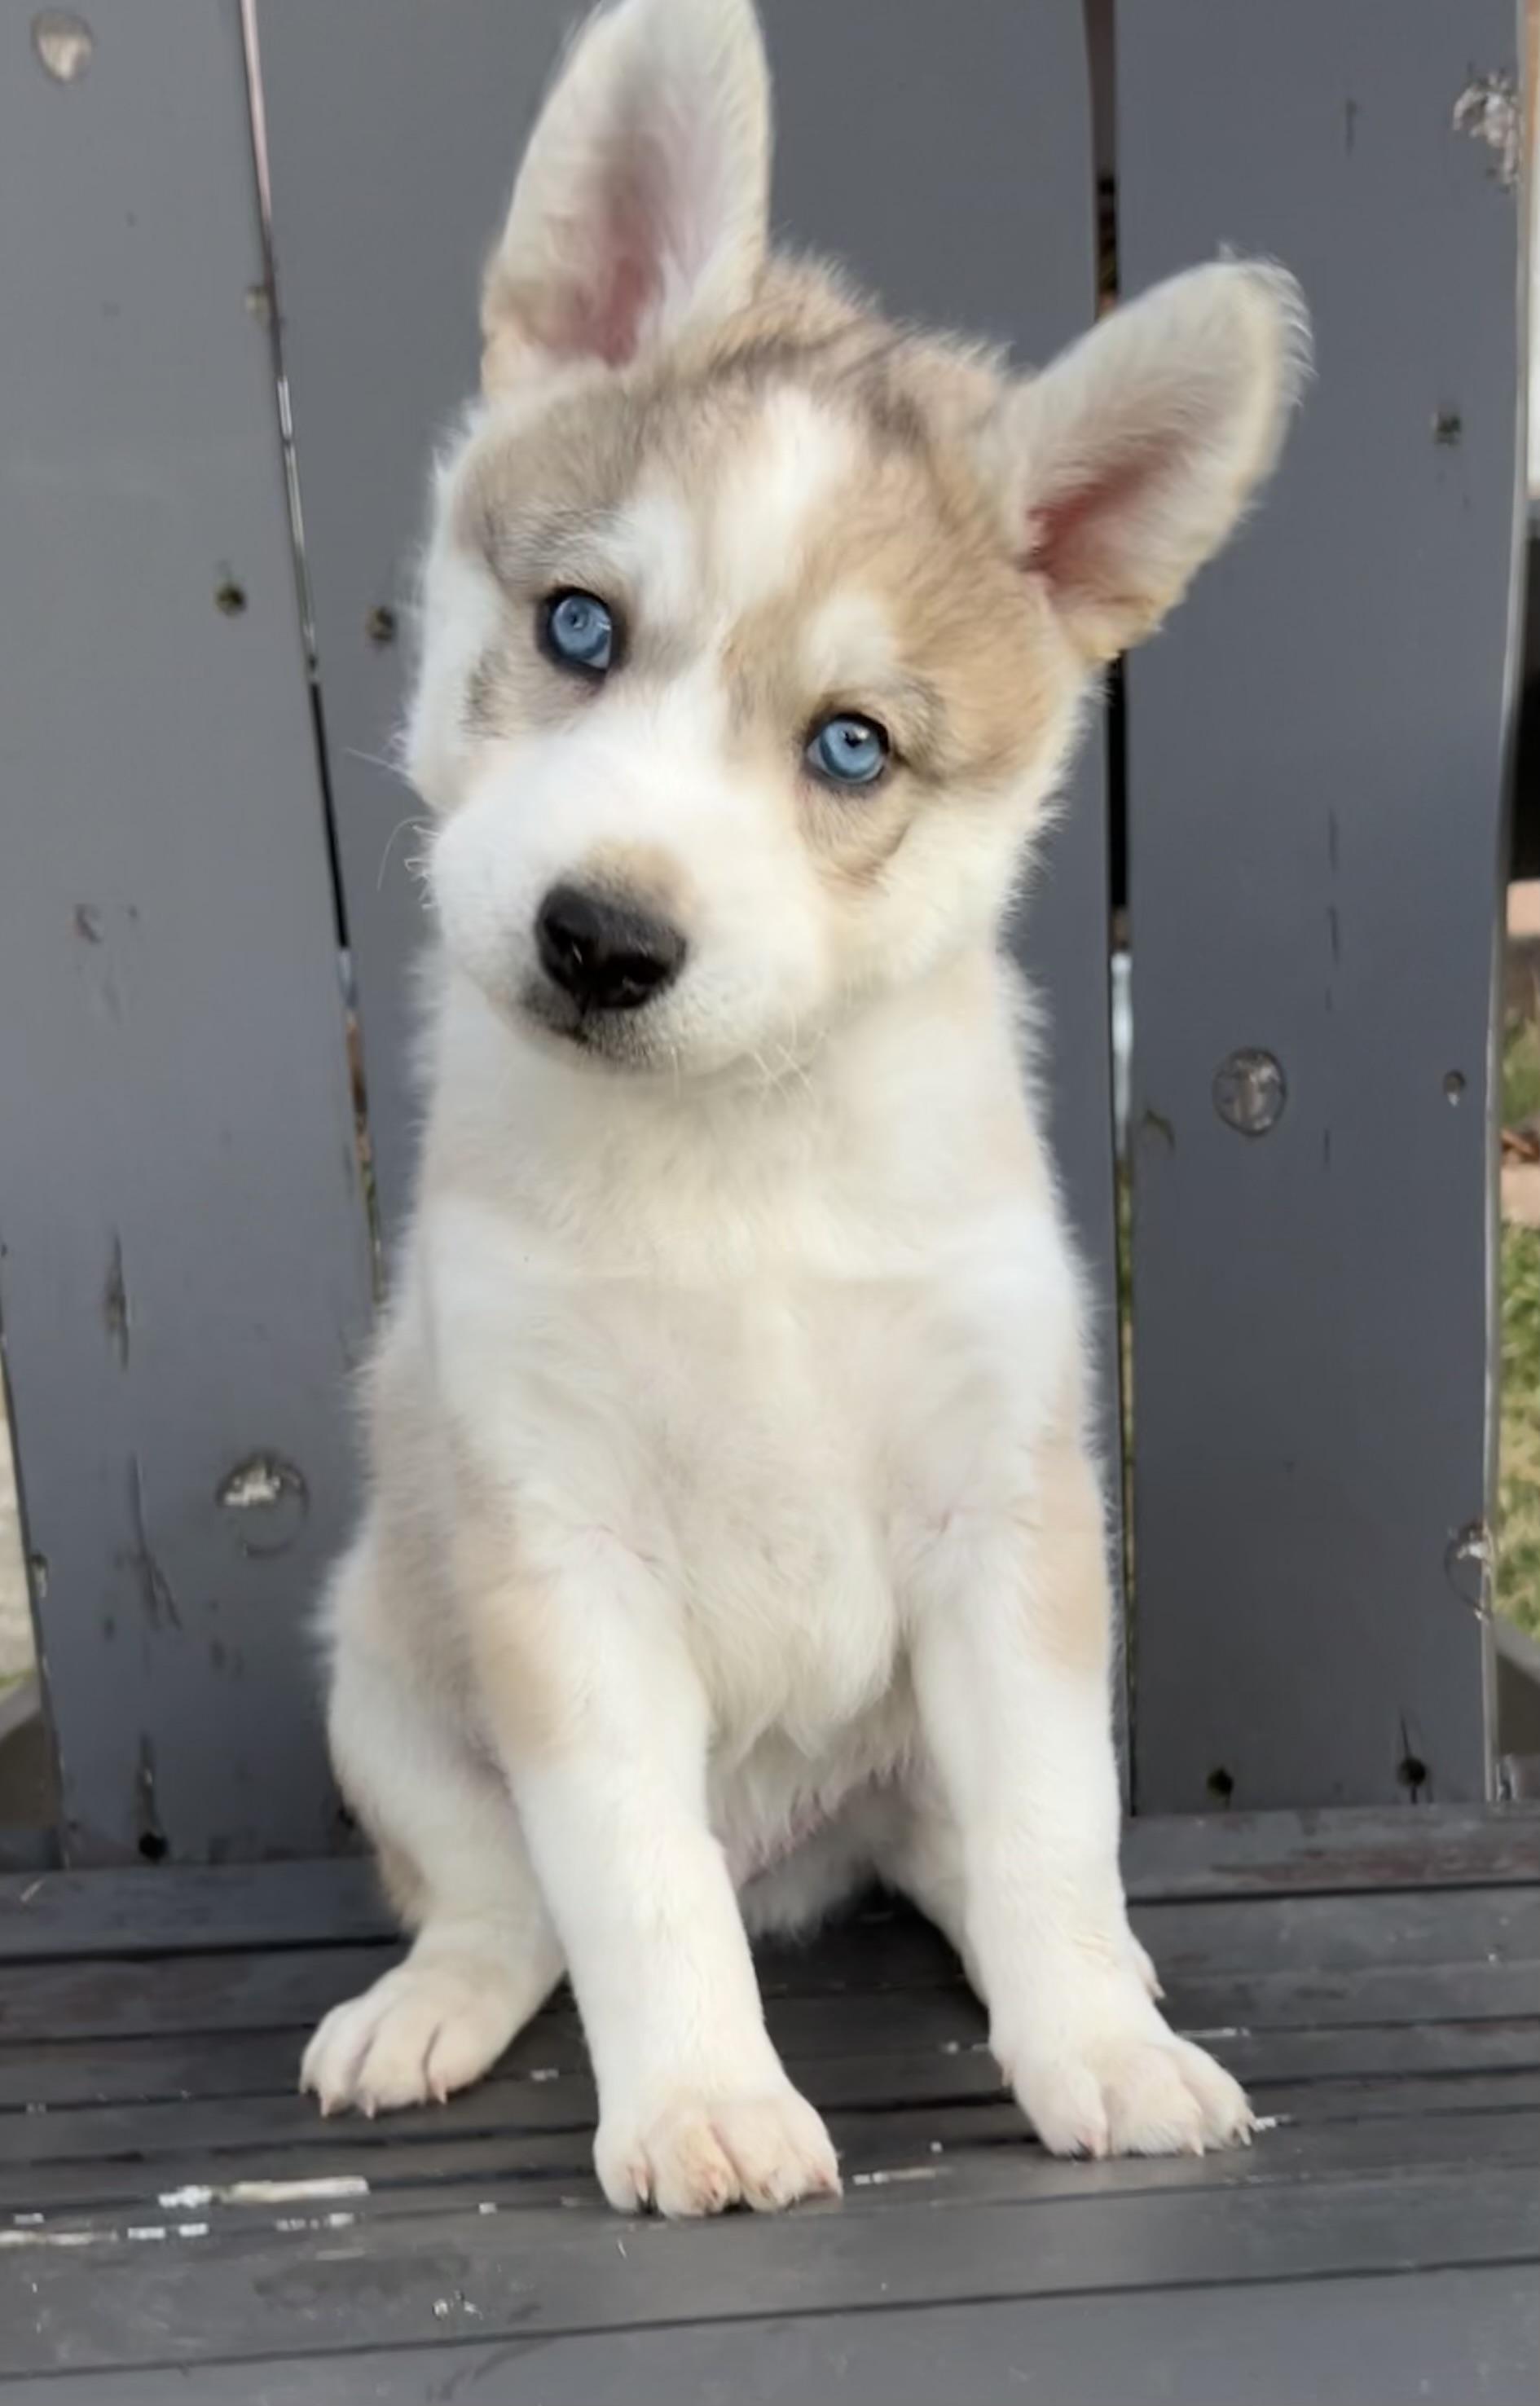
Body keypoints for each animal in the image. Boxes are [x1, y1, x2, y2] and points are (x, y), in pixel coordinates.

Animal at [301, 0, 1307, 2216]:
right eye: (578, 625)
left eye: (851, 747)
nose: (602, 937)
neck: (736, 1161)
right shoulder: (558, 1554)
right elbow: (630, 1877)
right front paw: (699, 2102)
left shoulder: (1005, 1527)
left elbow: (1047, 1839)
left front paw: (1103, 2052)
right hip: (385, 1668)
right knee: (499, 1895)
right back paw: (432, 2001)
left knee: (989, 1857)